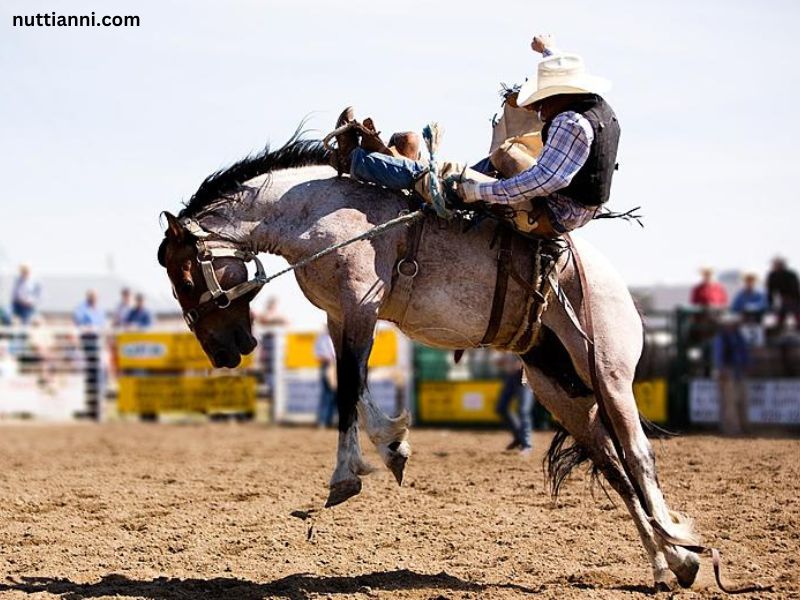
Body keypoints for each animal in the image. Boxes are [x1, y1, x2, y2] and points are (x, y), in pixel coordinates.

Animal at [158, 130, 764, 592]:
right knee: (614, 468)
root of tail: (617, 287)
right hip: (561, 391)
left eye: (186, 276)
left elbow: (350, 390)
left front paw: (346, 477)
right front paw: (394, 448)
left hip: (610, 373)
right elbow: (360, 391)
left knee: (638, 456)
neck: (315, 214)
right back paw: (671, 564)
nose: (222, 352)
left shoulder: (359, 305)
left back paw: (680, 548)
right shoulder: (342, 316)